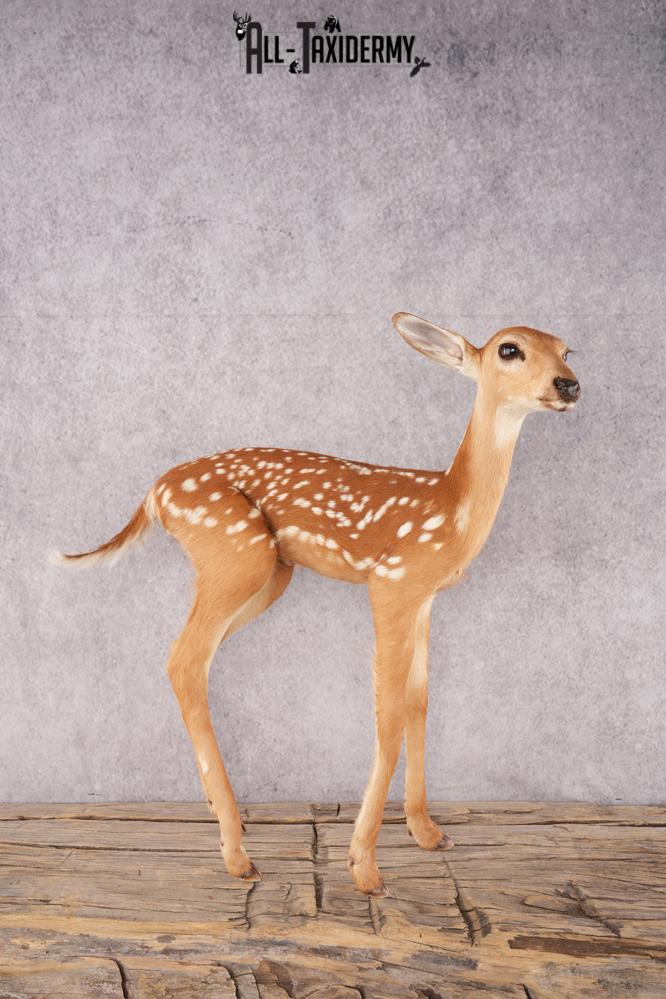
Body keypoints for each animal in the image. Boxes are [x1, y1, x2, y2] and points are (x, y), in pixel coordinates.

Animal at [52, 313, 580, 897]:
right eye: (510, 349)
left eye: (567, 350)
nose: (569, 385)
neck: (452, 508)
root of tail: (154, 494)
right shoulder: (391, 582)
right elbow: (388, 714)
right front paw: (365, 867)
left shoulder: (424, 597)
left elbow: (419, 703)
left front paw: (427, 832)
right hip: (236, 551)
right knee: (185, 660)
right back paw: (237, 855)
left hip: (268, 572)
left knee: (188, 661)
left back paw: (226, 818)